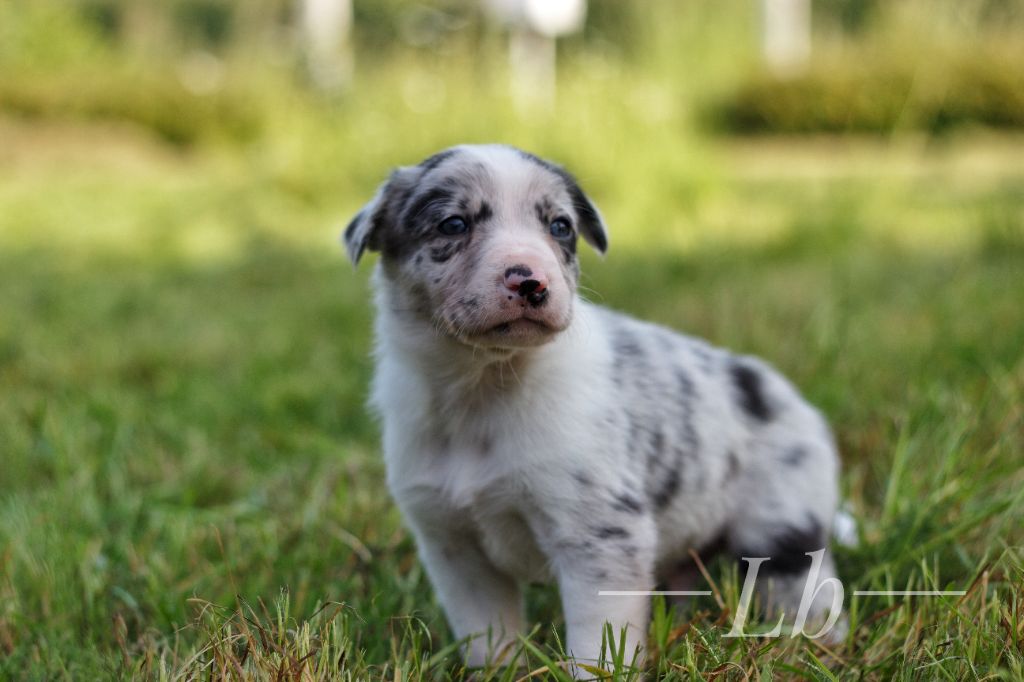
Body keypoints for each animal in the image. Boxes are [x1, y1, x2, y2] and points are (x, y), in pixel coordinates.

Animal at [342, 144, 839, 667]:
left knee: (811, 594)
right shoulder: (453, 547)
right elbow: (488, 639)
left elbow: (598, 641)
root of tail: (793, 399)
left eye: (560, 226)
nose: (531, 283)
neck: (483, 390)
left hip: (784, 532)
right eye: (453, 224)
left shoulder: (600, 536)